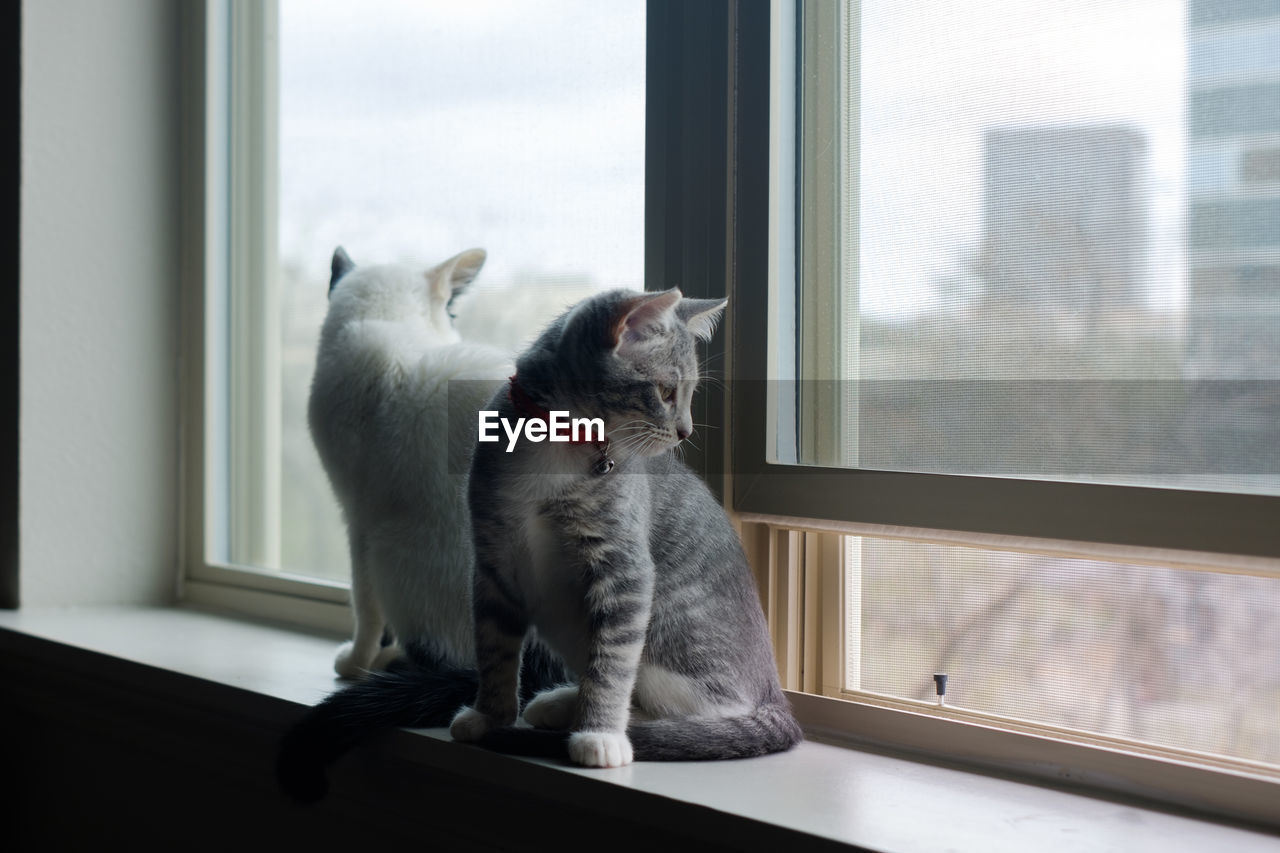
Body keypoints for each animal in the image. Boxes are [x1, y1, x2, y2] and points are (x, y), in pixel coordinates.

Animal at [308, 245, 509, 676]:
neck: (389, 323)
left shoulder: (357, 519)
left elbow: (364, 606)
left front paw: (356, 662)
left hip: (389, 547)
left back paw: (392, 660)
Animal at [450, 285, 798, 763]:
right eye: (666, 391)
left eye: (690, 392)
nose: (686, 431)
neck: (559, 444)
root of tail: (773, 694)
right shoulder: (491, 558)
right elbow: (494, 648)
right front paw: (489, 715)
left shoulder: (624, 569)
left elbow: (612, 663)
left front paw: (600, 734)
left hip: (675, 637)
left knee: (698, 710)